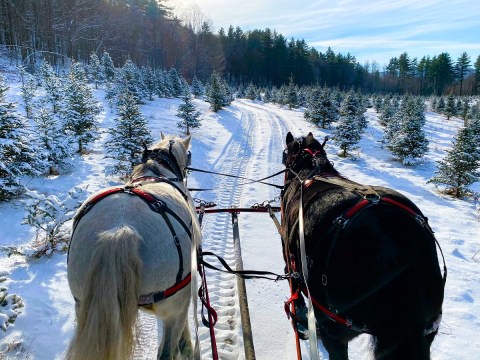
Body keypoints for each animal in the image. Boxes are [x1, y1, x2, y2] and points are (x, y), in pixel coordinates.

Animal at [66, 134, 201, 358]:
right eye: (189, 153)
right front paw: (187, 346)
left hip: (85, 303)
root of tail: (120, 230)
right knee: (167, 350)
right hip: (173, 305)